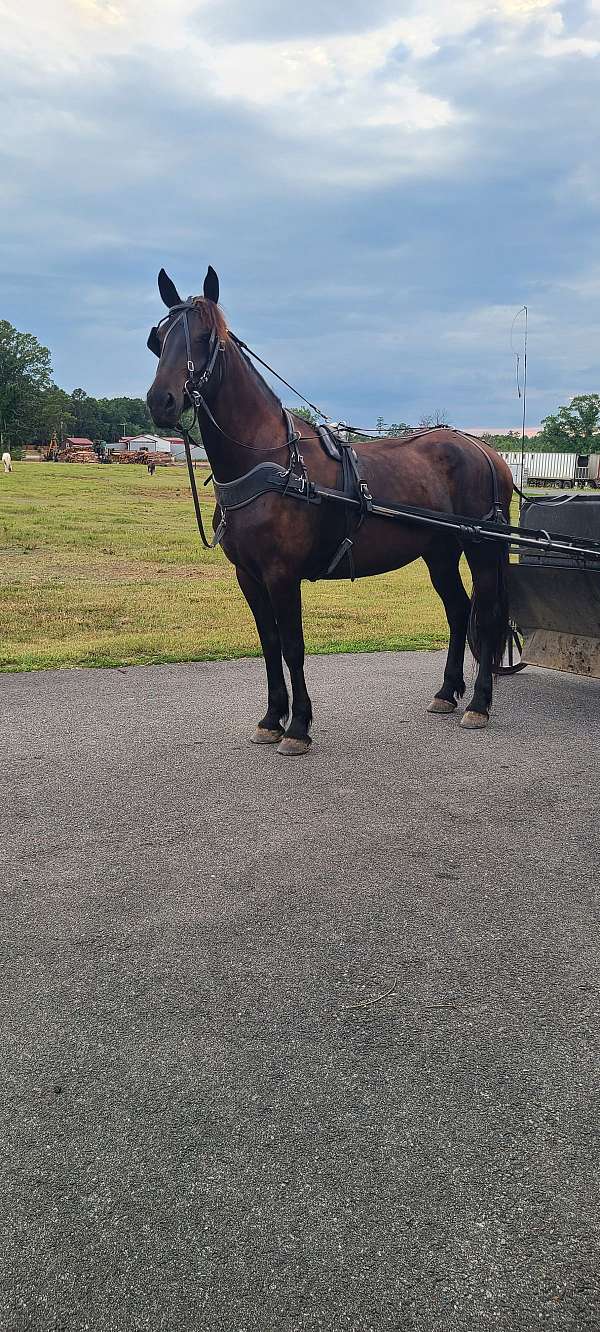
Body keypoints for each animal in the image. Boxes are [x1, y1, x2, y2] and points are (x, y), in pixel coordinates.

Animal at [146, 265, 512, 756]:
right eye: (158, 339)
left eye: (206, 337)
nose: (161, 401)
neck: (273, 461)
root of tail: (483, 448)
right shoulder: (249, 575)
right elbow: (269, 644)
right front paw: (271, 719)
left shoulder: (282, 574)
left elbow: (293, 647)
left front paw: (298, 726)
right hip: (438, 549)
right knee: (458, 610)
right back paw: (446, 692)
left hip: (482, 547)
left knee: (485, 615)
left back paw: (479, 704)